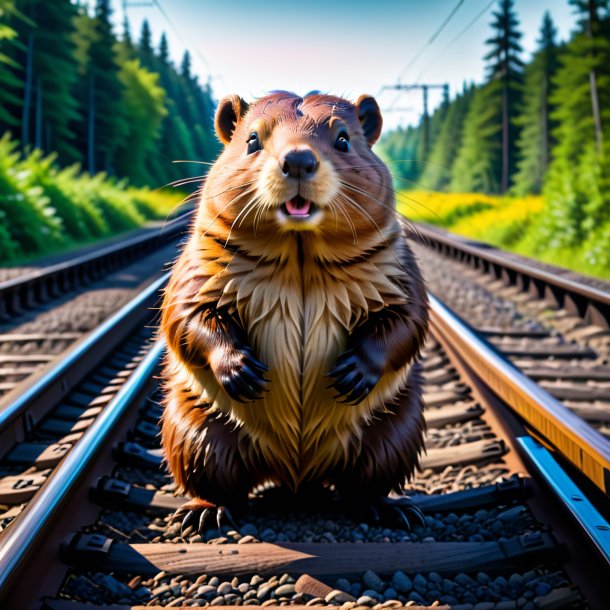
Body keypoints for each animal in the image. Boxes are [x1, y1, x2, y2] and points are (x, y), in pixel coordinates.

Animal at [162, 91, 428, 532]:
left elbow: (406, 319)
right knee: (218, 481)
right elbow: (187, 314)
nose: (299, 160)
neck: (299, 251)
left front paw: (352, 374)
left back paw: (391, 510)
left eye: (343, 139)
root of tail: (296, 477)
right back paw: (204, 513)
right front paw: (241, 372)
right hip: (196, 432)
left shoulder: (397, 268)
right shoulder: (200, 263)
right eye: (252, 139)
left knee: (364, 484)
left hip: (393, 433)